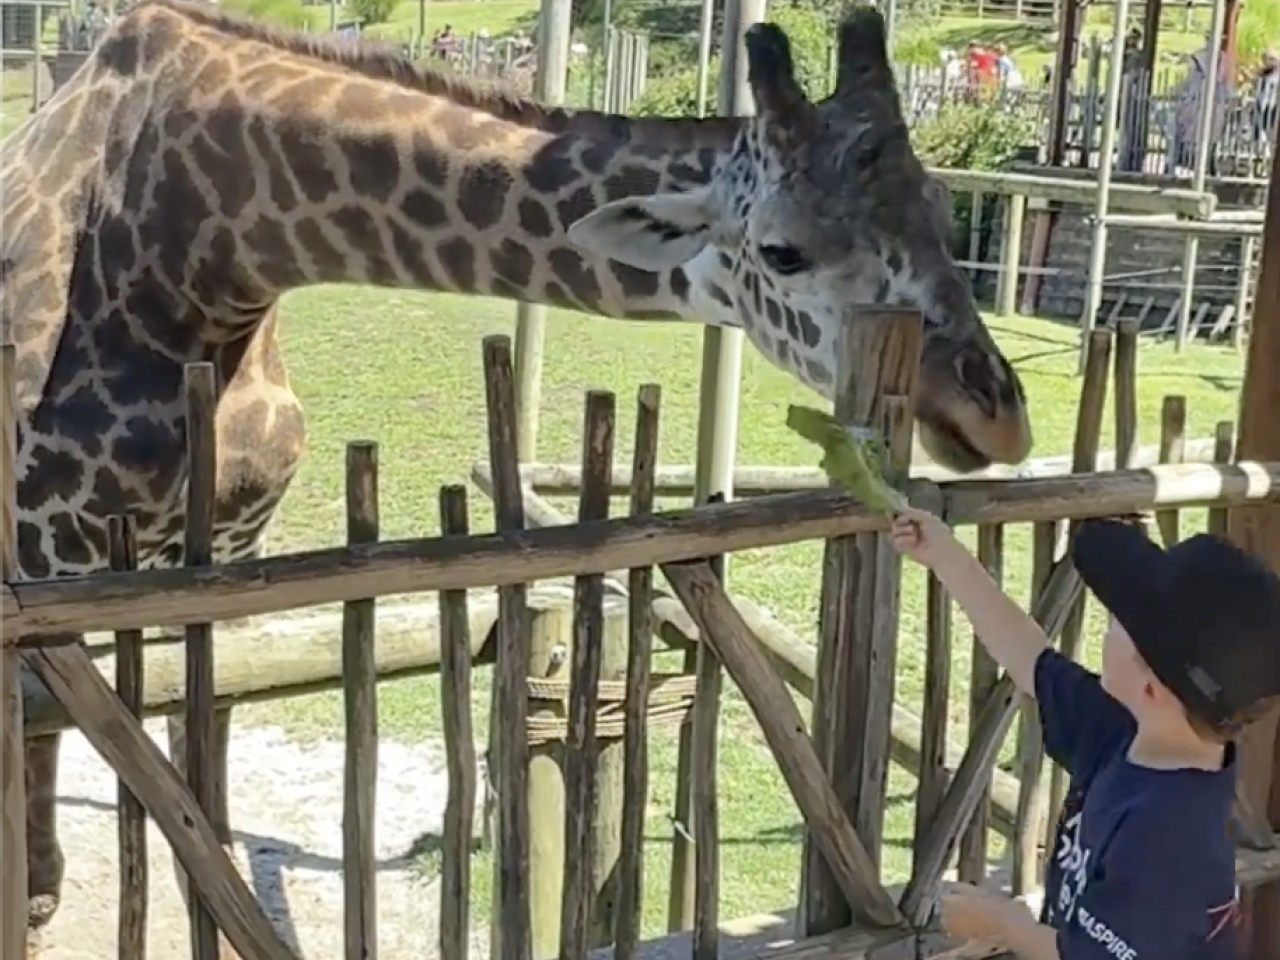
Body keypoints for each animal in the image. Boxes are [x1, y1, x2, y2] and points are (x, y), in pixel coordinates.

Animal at [0, 0, 1031, 943]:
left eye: (942, 211)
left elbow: (191, 757)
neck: (204, 253)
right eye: (782, 249)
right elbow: (63, 742)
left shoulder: (224, 553)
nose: (997, 411)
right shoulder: (50, 548)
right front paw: (39, 893)